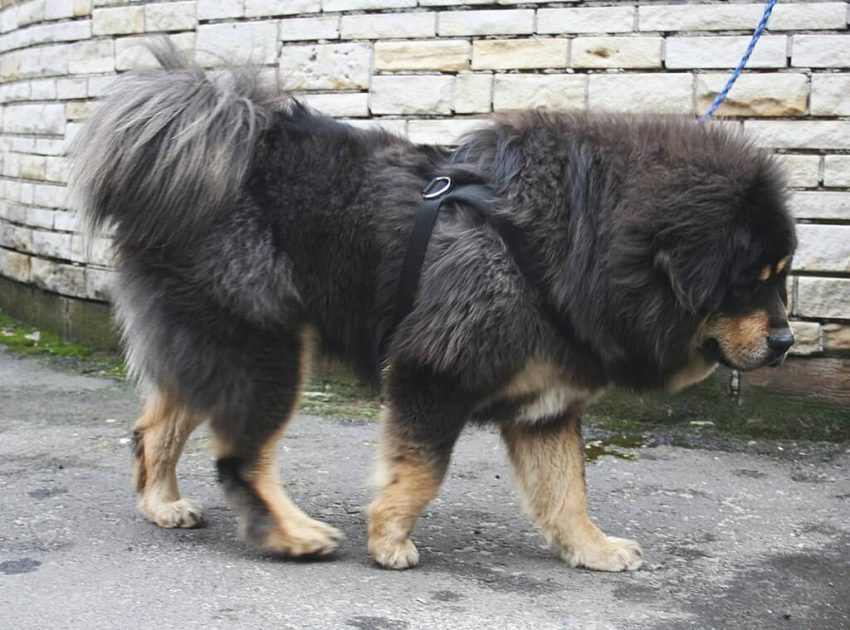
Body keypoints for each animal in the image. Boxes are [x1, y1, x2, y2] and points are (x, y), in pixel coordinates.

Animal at [71, 45, 796, 572]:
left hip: (216, 340)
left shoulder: (547, 405)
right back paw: (293, 533)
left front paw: (592, 549)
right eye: (751, 280)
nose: (786, 342)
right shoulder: (435, 369)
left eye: (782, 276)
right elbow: (422, 469)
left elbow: (566, 491)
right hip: (268, 348)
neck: (566, 243)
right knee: (242, 457)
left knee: (156, 428)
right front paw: (390, 539)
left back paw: (163, 505)